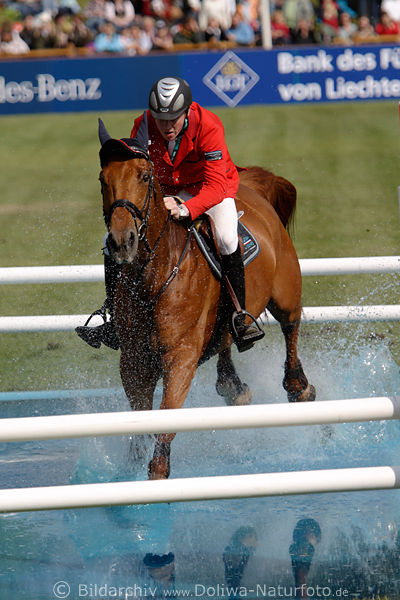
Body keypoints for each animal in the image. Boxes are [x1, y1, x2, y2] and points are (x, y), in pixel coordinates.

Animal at [96, 117, 316, 480]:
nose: (121, 242)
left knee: (291, 324)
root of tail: (250, 185)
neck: (153, 276)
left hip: (284, 291)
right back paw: (234, 386)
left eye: (144, 176)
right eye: (103, 181)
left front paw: (158, 471)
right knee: (227, 337)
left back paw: (299, 385)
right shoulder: (135, 361)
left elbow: (166, 416)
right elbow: (139, 420)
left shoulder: (180, 357)